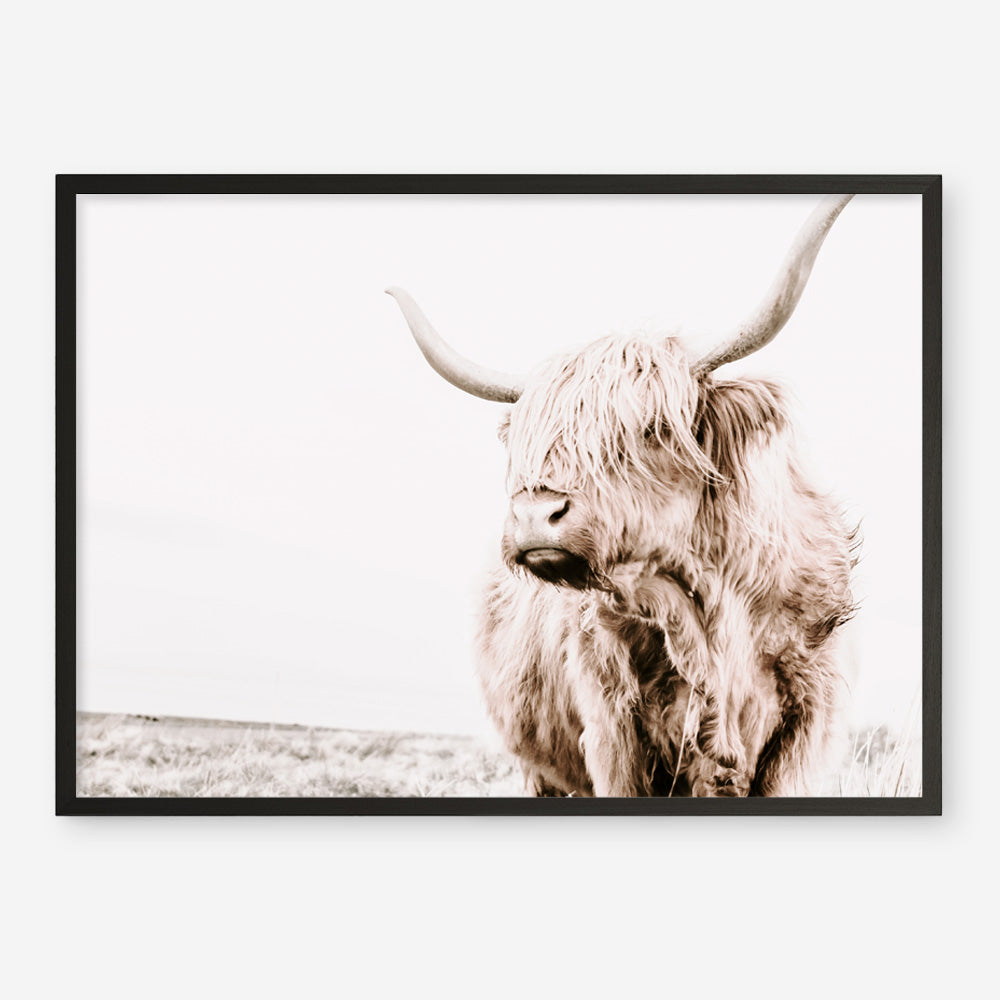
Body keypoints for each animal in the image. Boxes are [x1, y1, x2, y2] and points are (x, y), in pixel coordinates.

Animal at [386, 194, 858, 796]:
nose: (535, 515)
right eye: (529, 441)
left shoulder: (803, 731)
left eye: (653, 428)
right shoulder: (611, 732)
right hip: (536, 767)